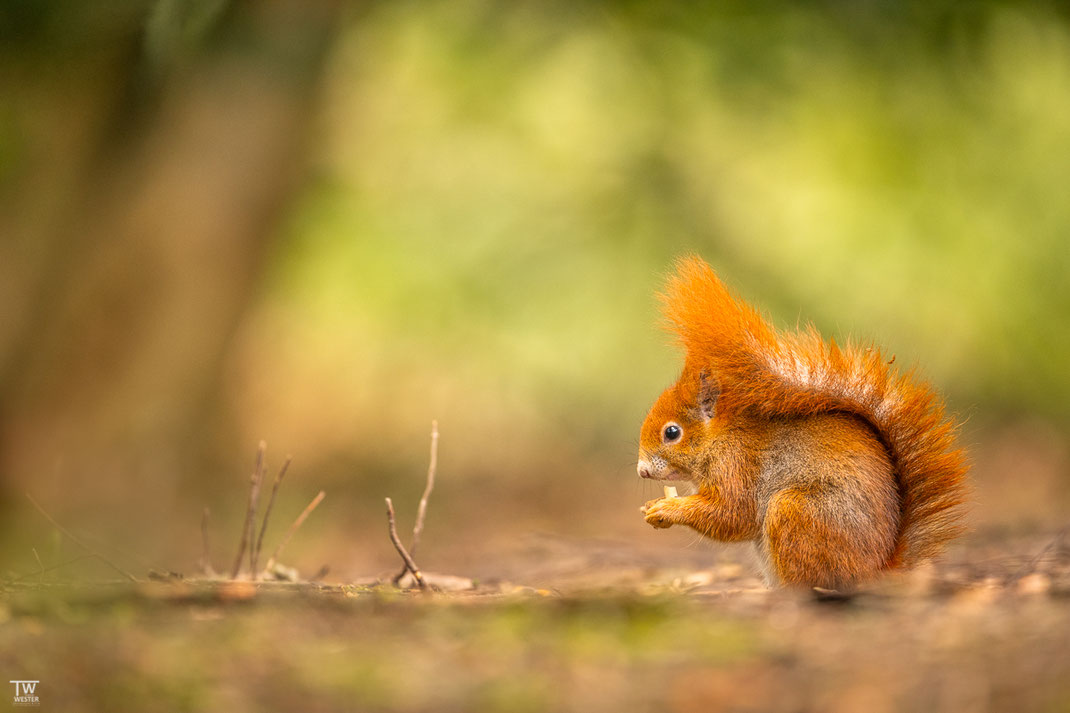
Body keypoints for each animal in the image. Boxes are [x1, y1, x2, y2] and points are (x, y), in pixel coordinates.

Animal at [633, 258, 971, 586]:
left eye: (672, 432)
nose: (642, 470)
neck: (721, 438)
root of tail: (876, 570)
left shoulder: (737, 466)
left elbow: (731, 515)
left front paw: (666, 509)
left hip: (795, 512)